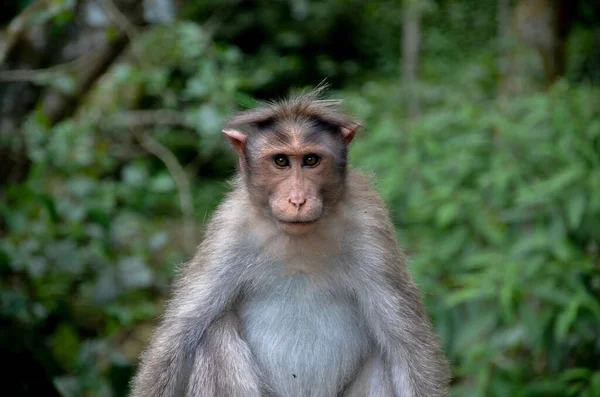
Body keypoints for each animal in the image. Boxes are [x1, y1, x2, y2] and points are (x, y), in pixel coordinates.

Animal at [131, 85, 450, 394]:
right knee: (215, 333)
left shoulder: (370, 226)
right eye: (281, 161)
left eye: (310, 160)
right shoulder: (229, 229)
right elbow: (180, 335)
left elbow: (407, 346)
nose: (297, 200)